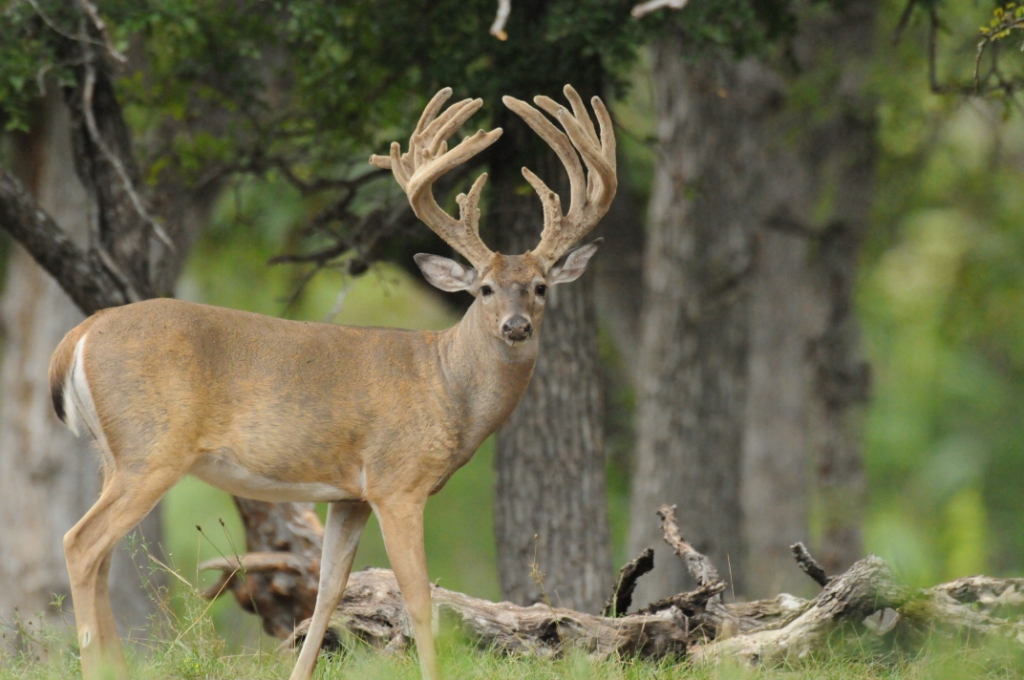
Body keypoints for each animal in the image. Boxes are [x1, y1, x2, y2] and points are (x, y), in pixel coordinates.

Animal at [49, 86, 614, 680]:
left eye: (541, 286)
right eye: (484, 288)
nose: (516, 326)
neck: (445, 385)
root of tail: (79, 335)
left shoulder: (349, 495)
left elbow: (328, 591)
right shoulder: (397, 481)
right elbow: (419, 599)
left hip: (113, 454)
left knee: (102, 555)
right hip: (151, 448)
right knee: (80, 543)